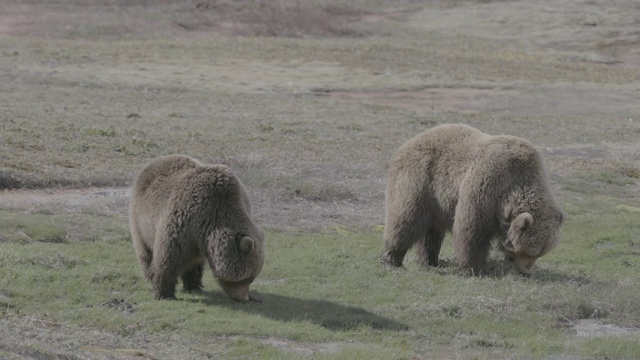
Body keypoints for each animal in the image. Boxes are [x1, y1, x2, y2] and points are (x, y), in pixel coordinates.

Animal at [129, 155, 264, 300]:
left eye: (252, 278)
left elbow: (194, 262)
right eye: (246, 279)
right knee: (145, 251)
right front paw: (164, 293)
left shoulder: (198, 238)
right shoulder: (183, 221)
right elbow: (169, 257)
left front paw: (194, 285)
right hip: (139, 218)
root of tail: (155, 161)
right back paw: (150, 275)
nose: (244, 298)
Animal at [382, 124, 564, 276]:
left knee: (431, 232)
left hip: (436, 202)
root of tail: (408, 142)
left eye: (540, 253)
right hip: (419, 181)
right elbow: (472, 231)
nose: (526, 271)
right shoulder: (487, 185)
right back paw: (392, 259)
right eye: (528, 252)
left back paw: (430, 260)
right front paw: (474, 268)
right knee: (405, 221)